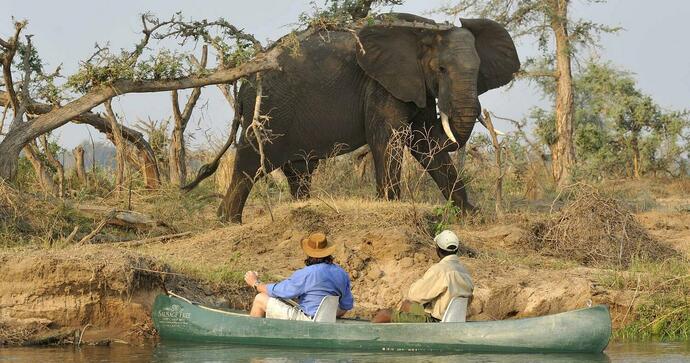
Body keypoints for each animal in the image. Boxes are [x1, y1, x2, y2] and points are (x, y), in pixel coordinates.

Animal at [218, 12, 520, 223]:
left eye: (478, 70)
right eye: (442, 69)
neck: (424, 32)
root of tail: (243, 85)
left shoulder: (415, 82)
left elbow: (424, 143)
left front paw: (471, 215)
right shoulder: (382, 83)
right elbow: (390, 138)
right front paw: (390, 205)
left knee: (300, 171)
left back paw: (300, 207)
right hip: (270, 111)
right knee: (250, 162)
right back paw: (229, 222)